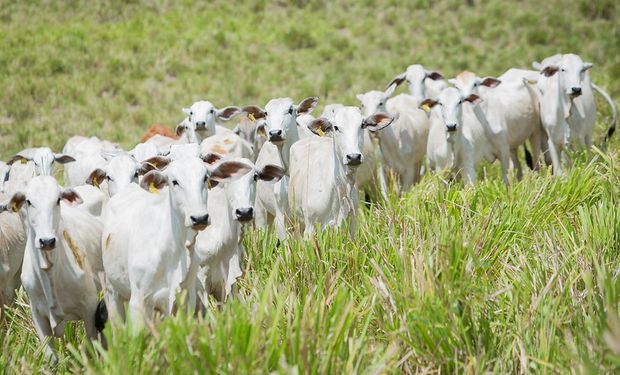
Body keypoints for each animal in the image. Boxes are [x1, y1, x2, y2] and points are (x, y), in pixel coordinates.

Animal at [0, 178, 103, 362]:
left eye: (58, 200)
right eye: (28, 201)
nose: (47, 241)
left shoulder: (90, 307)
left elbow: (92, 351)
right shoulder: (38, 315)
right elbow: (51, 358)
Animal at [100, 156, 251, 326]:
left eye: (205, 177)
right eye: (175, 181)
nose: (199, 218)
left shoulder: (186, 301)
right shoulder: (138, 302)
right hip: (112, 293)